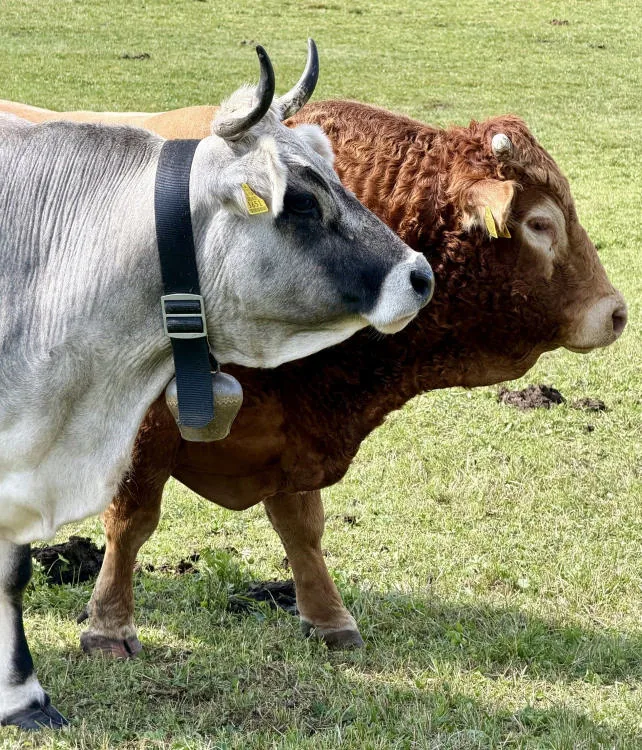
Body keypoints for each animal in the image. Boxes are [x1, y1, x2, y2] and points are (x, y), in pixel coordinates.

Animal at [2, 98, 627, 673]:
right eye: (541, 222)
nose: (616, 312)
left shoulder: (292, 429)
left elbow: (302, 527)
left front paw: (328, 618)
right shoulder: (143, 425)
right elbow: (131, 521)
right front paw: (109, 626)